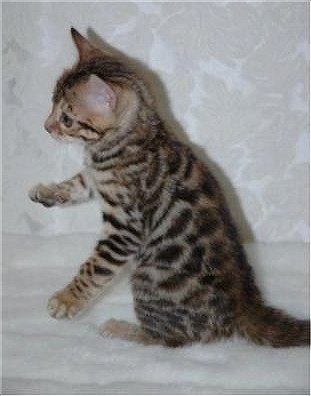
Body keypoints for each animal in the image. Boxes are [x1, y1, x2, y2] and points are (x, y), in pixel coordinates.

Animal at [28, 29, 310, 348]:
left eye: (66, 119)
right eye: (51, 104)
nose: (46, 126)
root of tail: (244, 305)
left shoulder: (125, 227)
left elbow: (95, 268)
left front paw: (67, 300)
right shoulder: (96, 178)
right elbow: (77, 183)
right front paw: (47, 192)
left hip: (147, 277)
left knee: (172, 339)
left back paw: (123, 329)